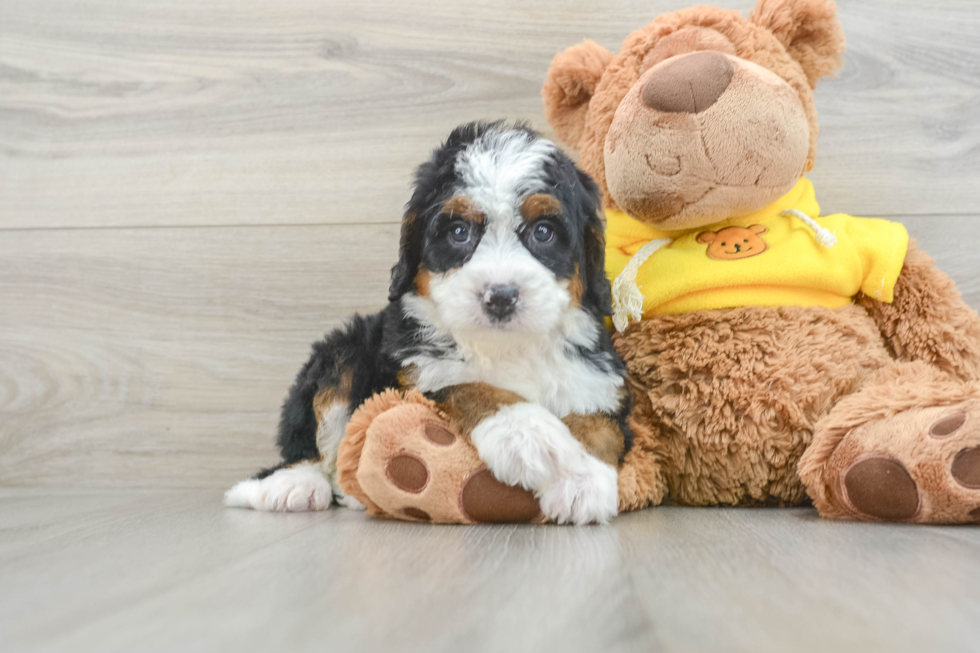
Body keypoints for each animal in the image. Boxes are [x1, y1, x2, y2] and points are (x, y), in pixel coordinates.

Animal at [226, 119, 632, 524]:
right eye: (458, 232)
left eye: (543, 232)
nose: (500, 296)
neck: (505, 346)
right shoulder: (407, 373)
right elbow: (467, 385)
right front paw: (526, 435)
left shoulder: (599, 380)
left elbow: (602, 424)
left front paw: (582, 479)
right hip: (341, 354)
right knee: (308, 445)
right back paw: (290, 486)